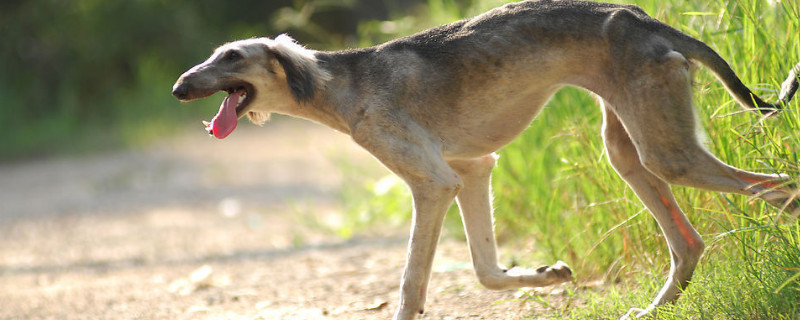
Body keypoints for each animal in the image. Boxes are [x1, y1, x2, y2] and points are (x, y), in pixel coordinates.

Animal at [173, 1, 800, 318]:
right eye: (212, 55)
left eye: (232, 56)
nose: (179, 87)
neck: (343, 82)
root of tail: (643, 18)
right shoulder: (473, 171)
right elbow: (484, 268)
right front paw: (546, 275)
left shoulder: (433, 183)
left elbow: (412, 285)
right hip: (629, 150)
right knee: (688, 243)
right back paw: (649, 311)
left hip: (667, 154)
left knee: (783, 188)